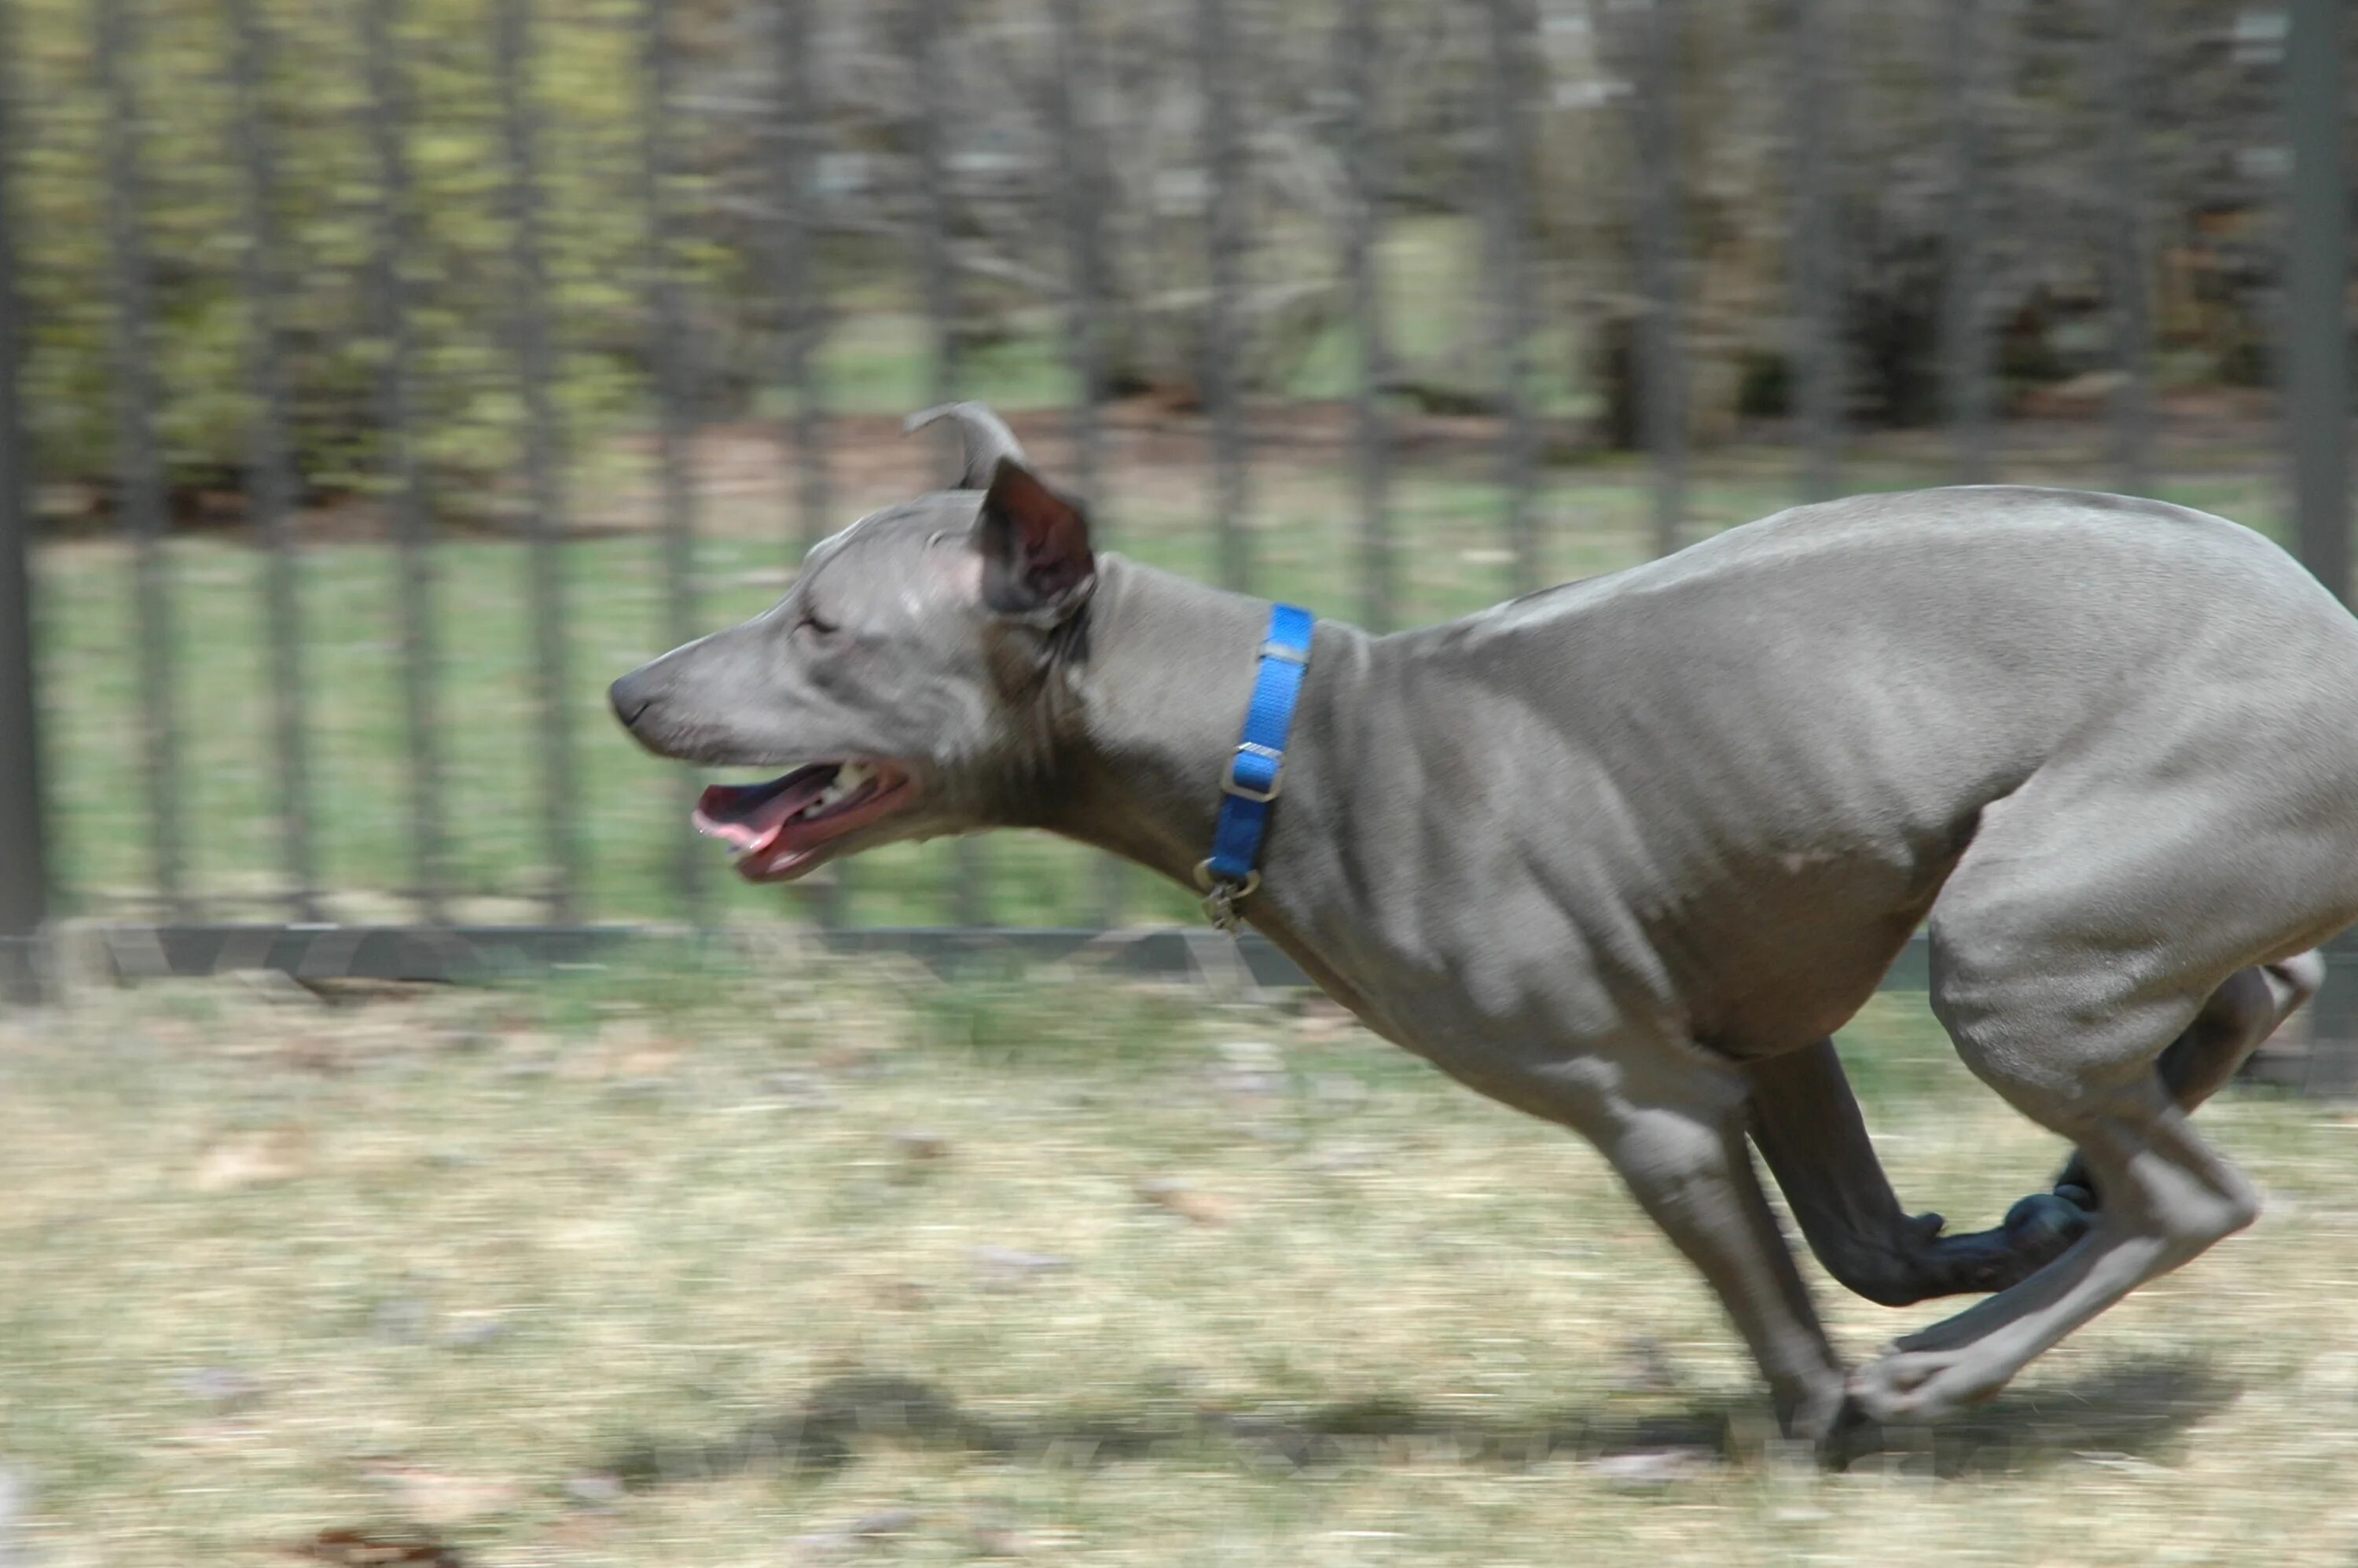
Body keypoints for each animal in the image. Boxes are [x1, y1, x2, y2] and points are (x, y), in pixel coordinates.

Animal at [613, 403, 2358, 1443]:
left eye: (821, 627)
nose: (629, 687)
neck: (1284, 739)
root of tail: (2322, 611)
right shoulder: (1765, 1034)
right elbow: (1863, 1244)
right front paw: (1998, 1239)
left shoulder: (1647, 1108)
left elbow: (1794, 1331)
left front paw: (1833, 1425)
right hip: (2074, 911)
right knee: (2257, 992)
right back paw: (2069, 1200)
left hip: (2006, 952)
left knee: (2193, 1193)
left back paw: (1958, 1362)